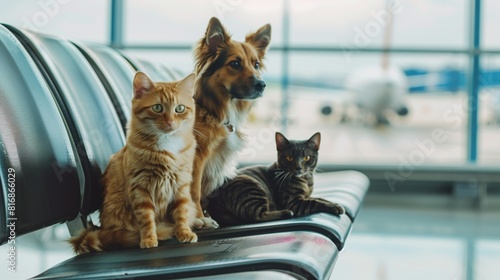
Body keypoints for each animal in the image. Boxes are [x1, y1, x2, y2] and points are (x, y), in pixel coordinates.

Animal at [70, 71, 199, 254]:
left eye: (179, 108)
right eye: (157, 108)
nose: (170, 122)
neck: (167, 144)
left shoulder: (181, 185)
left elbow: (182, 212)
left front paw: (184, 232)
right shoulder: (140, 188)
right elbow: (147, 219)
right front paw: (149, 239)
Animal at [191, 18, 272, 225]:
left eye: (256, 64)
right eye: (235, 63)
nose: (262, 85)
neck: (212, 111)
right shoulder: (197, 158)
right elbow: (194, 191)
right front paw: (198, 219)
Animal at [207, 132, 344, 226]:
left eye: (307, 158)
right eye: (289, 158)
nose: (298, 168)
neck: (306, 181)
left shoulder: (306, 196)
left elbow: (320, 198)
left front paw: (334, 202)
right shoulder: (294, 202)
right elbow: (315, 202)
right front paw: (334, 206)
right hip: (251, 186)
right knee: (256, 216)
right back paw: (285, 213)